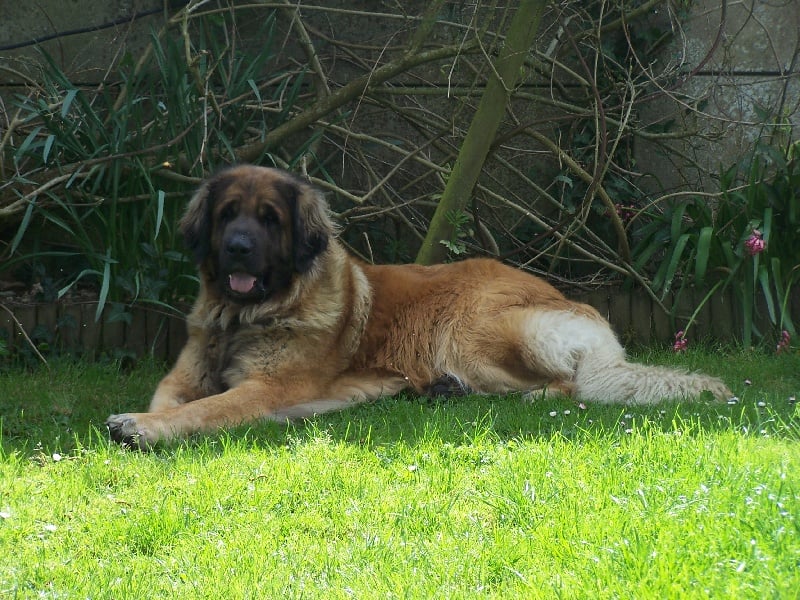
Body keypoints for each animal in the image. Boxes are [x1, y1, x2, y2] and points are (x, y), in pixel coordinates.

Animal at [106, 165, 731, 448]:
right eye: (227, 214)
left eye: (269, 220)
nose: (238, 247)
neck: (245, 318)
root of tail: (573, 304)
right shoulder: (185, 375)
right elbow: (174, 398)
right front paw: (143, 419)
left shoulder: (266, 388)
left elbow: (201, 412)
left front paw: (141, 428)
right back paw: (441, 391)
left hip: (475, 335)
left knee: (565, 384)